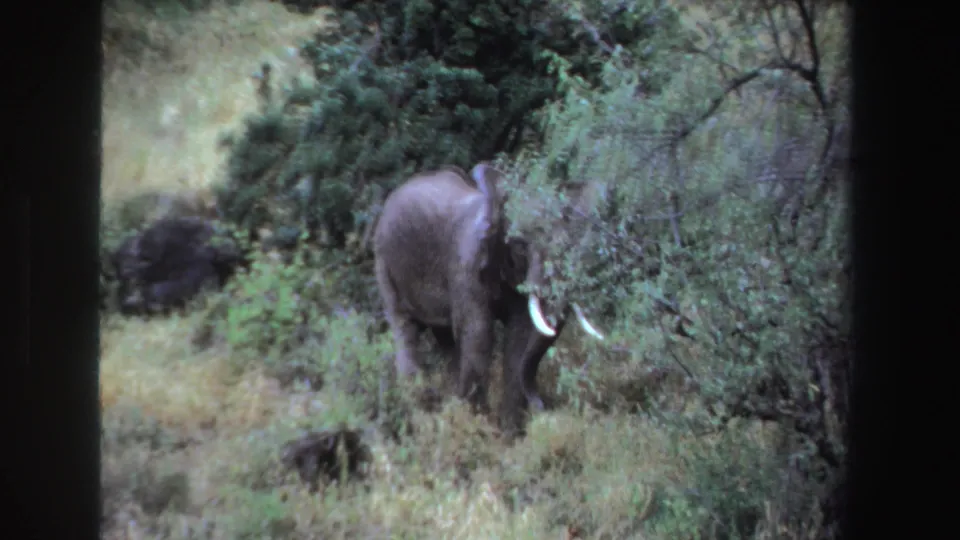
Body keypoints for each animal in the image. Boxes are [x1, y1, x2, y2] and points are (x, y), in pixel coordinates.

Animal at [373, 162, 606, 434]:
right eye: (521, 246)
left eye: (572, 247)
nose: (542, 406)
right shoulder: (467, 265)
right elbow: (479, 334)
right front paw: (477, 427)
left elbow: (519, 337)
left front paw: (509, 435)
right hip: (384, 263)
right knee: (404, 327)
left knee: (445, 338)